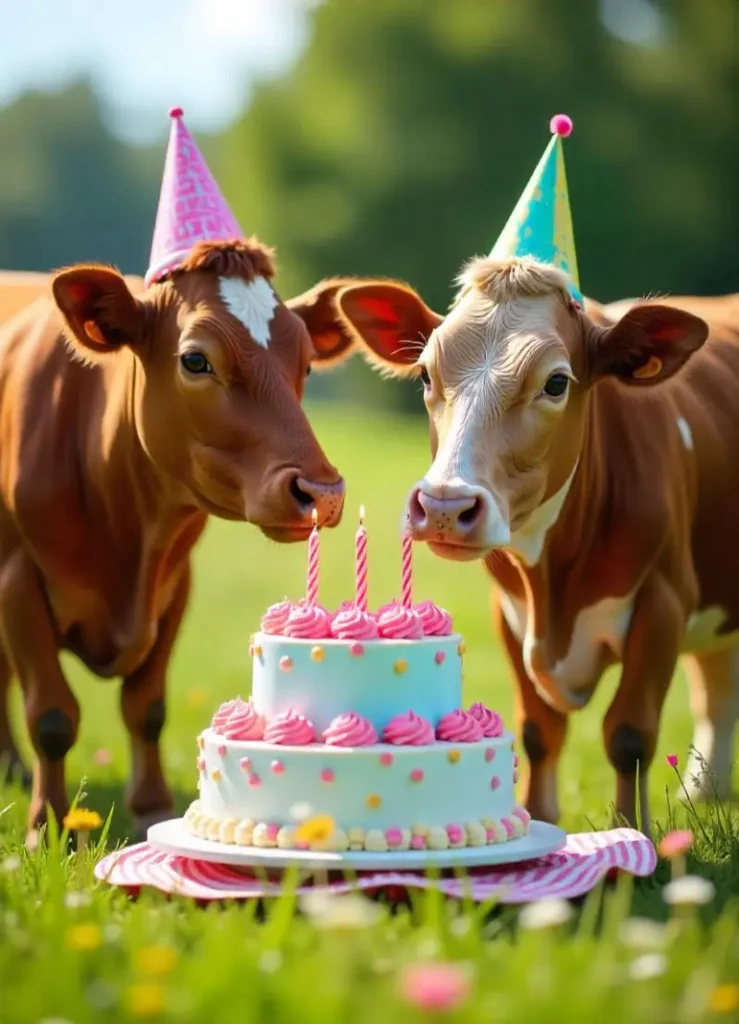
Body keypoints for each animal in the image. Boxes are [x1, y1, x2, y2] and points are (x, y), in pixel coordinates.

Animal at [0, 237, 356, 839]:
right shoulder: (16, 579)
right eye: (195, 360)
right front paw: (47, 827)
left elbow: (146, 706)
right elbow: (51, 715)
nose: (323, 492)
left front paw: (152, 810)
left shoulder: (174, 583)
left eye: (306, 362)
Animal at [331, 258, 736, 831]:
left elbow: (629, 735)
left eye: (557, 382)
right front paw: (540, 819)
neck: (554, 583)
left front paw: (630, 833)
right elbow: (538, 730)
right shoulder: (509, 612)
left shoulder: (664, 603)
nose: (445, 505)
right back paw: (706, 792)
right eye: (427, 374)